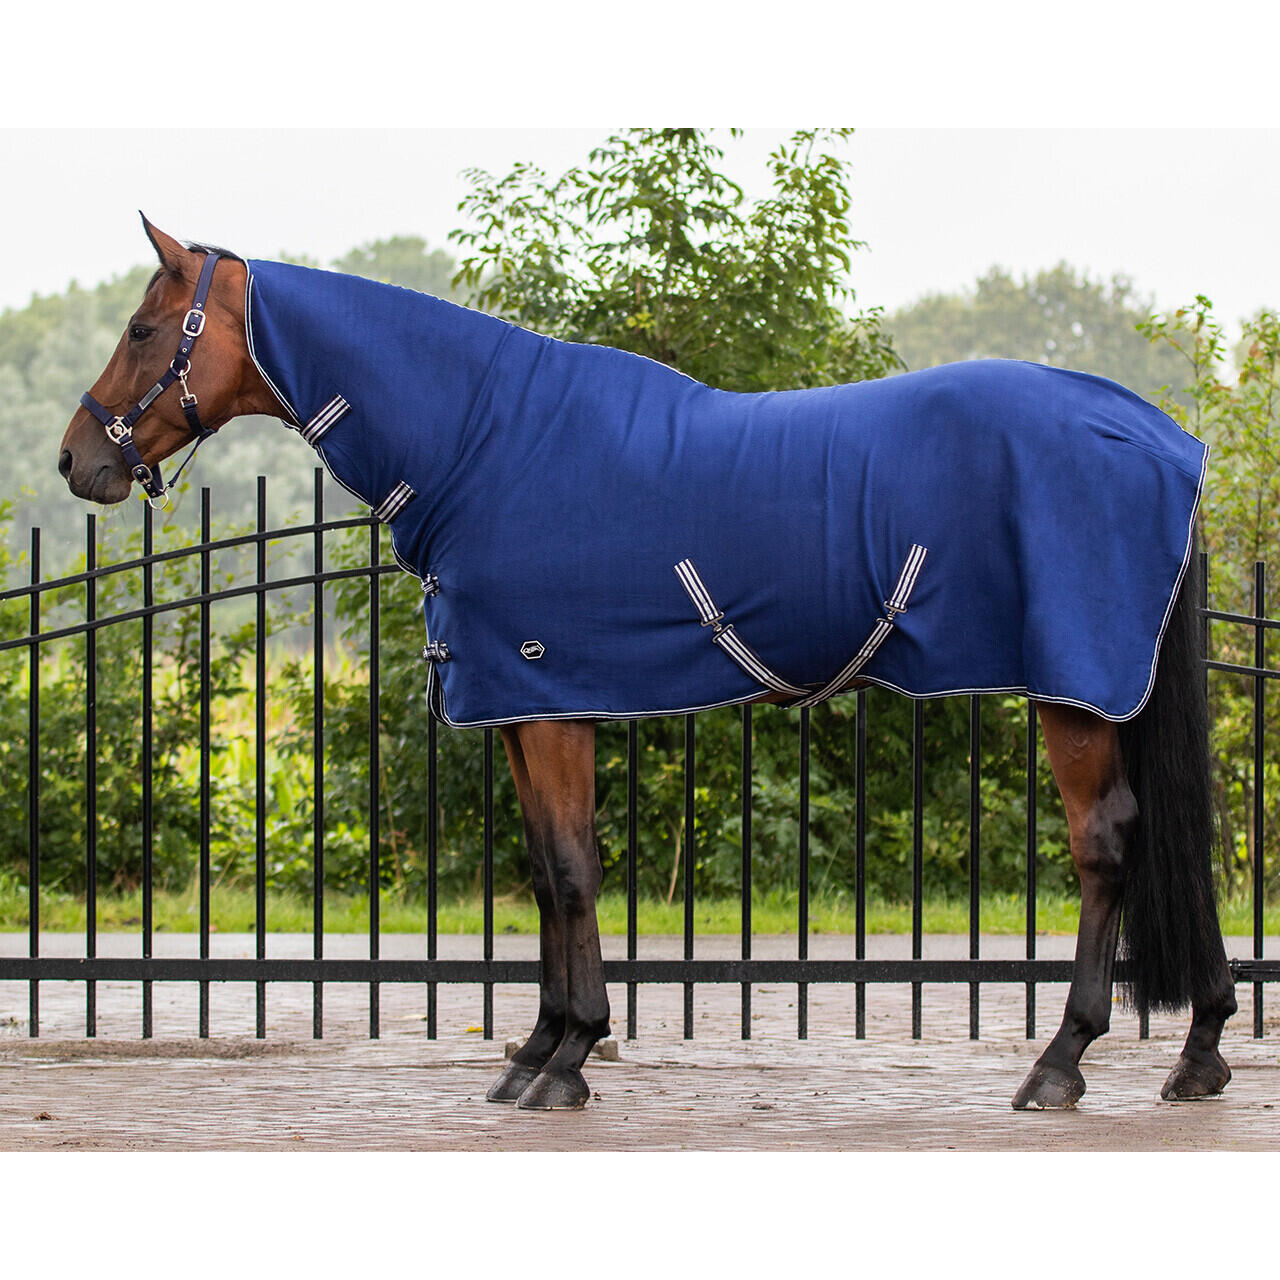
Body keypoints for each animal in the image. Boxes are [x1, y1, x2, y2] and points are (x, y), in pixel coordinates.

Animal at [58, 217, 1239, 1111]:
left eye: (144, 327)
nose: (78, 460)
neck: (484, 446)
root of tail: (1160, 438)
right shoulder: (523, 705)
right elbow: (547, 874)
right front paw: (540, 1052)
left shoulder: (547, 701)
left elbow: (573, 870)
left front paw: (569, 1056)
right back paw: (1200, 1052)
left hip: (1076, 693)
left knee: (1105, 845)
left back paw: (1060, 1063)